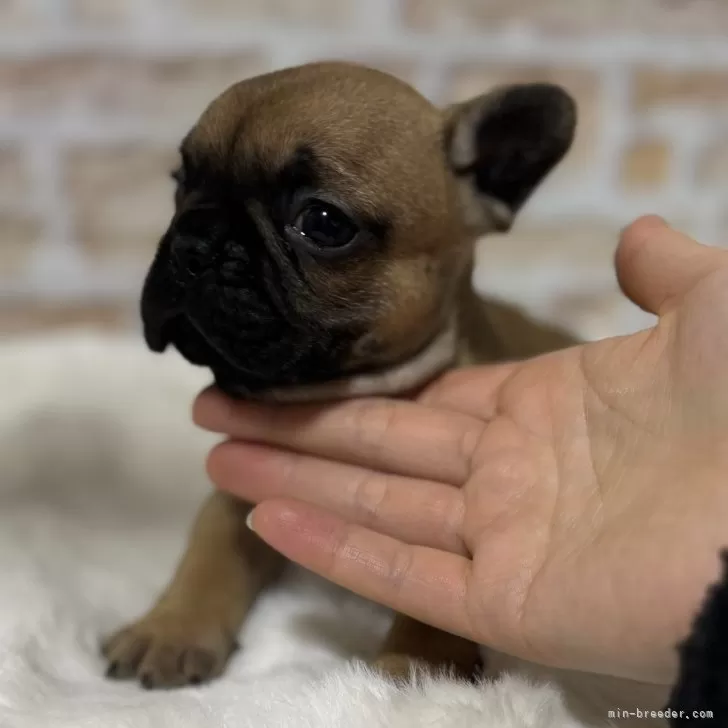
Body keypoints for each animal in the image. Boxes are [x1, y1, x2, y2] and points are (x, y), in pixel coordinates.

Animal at [102, 61, 576, 688]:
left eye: (323, 222)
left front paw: (416, 662)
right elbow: (210, 547)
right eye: (181, 183)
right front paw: (170, 628)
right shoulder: (240, 488)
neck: (333, 394)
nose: (192, 240)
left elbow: (437, 600)